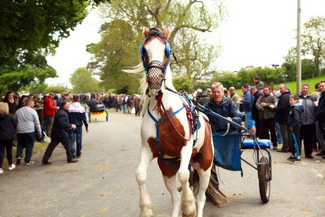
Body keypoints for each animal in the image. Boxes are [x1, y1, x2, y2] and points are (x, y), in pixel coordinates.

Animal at [125, 26, 227, 216]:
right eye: (145, 50)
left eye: (166, 50)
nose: (155, 78)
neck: (162, 111)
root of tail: (206, 119)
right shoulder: (149, 149)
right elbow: (140, 175)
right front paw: (146, 209)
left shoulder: (185, 147)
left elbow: (184, 176)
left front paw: (189, 206)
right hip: (168, 168)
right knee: (175, 198)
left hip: (205, 164)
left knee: (201, 196)